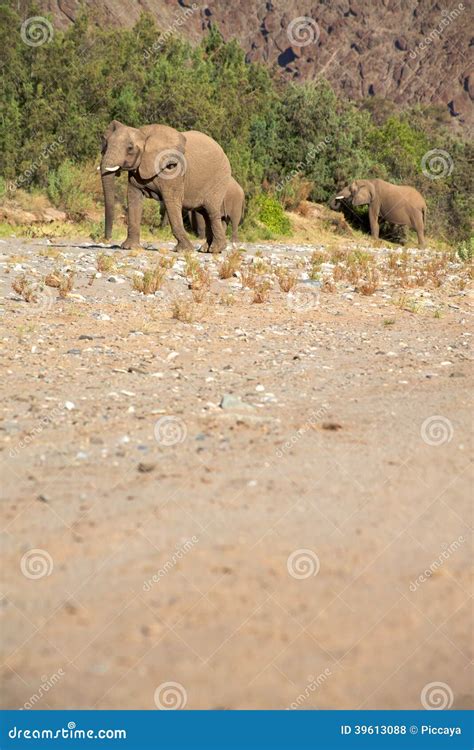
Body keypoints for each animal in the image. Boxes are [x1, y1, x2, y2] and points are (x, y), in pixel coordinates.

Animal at [101, 120, 231, 254]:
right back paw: (205, 249)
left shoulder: (173, 168)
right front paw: (129, 247)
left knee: (211, 211)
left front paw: (184, 250)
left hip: (219, 179)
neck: (144, 134)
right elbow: (133, 199)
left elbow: (171, 201)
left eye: (130, 148)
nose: (107, 239)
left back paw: (215, 249)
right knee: (205, 213)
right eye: (106, 144)